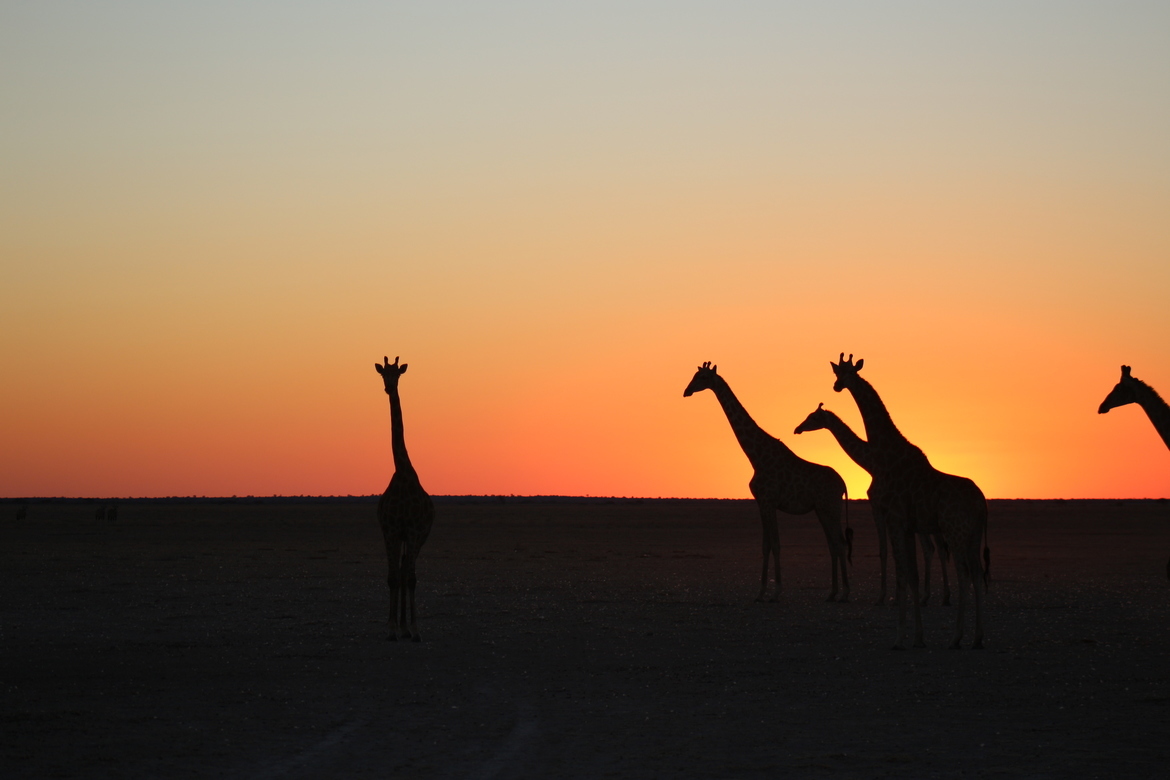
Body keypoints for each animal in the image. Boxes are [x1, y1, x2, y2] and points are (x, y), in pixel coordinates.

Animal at [684, 362, 852, 602]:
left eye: (703, 377)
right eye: (695, 375)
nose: (686, 391)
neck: (756, 456)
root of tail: (843, 484)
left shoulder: (769, 501)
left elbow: (776, 544)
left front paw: (776, 590)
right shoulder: (761, 503)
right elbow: (766, 545)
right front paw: (761, 591)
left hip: (831, 507)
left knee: (839, 542)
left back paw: (845, 592)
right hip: (822, 510)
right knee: (832, 544)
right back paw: (833, 592)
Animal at [794, 402, 951, 607]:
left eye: (814, 417)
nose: (798, 428)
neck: (871, 465)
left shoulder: (880, 508)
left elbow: (886, 549)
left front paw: (884, 596)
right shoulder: (885, 510)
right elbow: (888, 549)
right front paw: (896, 595)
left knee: (937, 548)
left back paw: (939, 596)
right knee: (933, 548)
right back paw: (930, 596)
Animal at [829, 354, 989, 649]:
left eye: (848, 372)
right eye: (836, 372)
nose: (836, 386)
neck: (884, 452)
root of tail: (982, 504)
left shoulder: (894, 519)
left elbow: (903, 573)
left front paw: (900, 637)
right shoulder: (908, 526)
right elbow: (910, 573)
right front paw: (916, 636)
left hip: (955, 532)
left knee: (964, 575)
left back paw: (957, 636)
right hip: (972, 536)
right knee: (976, 574)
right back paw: (977, 637)